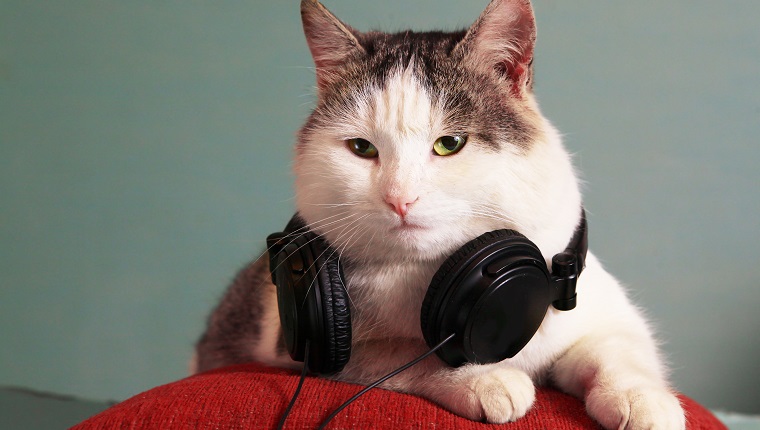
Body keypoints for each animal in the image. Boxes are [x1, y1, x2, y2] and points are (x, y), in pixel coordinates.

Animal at [193, 0, 684, 426]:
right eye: (361, 148)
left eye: (450, 143)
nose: (399, 198)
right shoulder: (317, 350)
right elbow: (410, 355)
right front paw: (486, 379)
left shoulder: (608, 314)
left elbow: (618, 350)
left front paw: (642, 400)